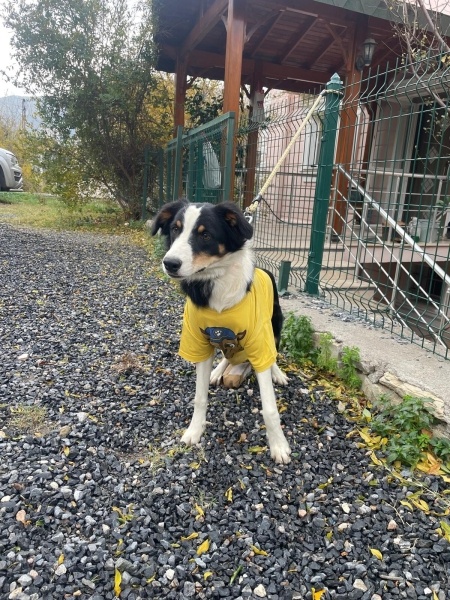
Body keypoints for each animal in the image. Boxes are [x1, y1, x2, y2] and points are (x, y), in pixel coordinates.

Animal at [151, 198, 292, 464]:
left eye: (205, 235)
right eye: (175, 229)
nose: (170, 263)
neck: (215, 283)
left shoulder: (260, 342)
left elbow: (269, 407)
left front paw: (279, 445)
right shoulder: (198, 341)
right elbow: (199, 397)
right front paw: (194, 431)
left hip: (275, 326)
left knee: (272, 354)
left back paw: (276, 372)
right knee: (228, 356)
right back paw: (218, 371)